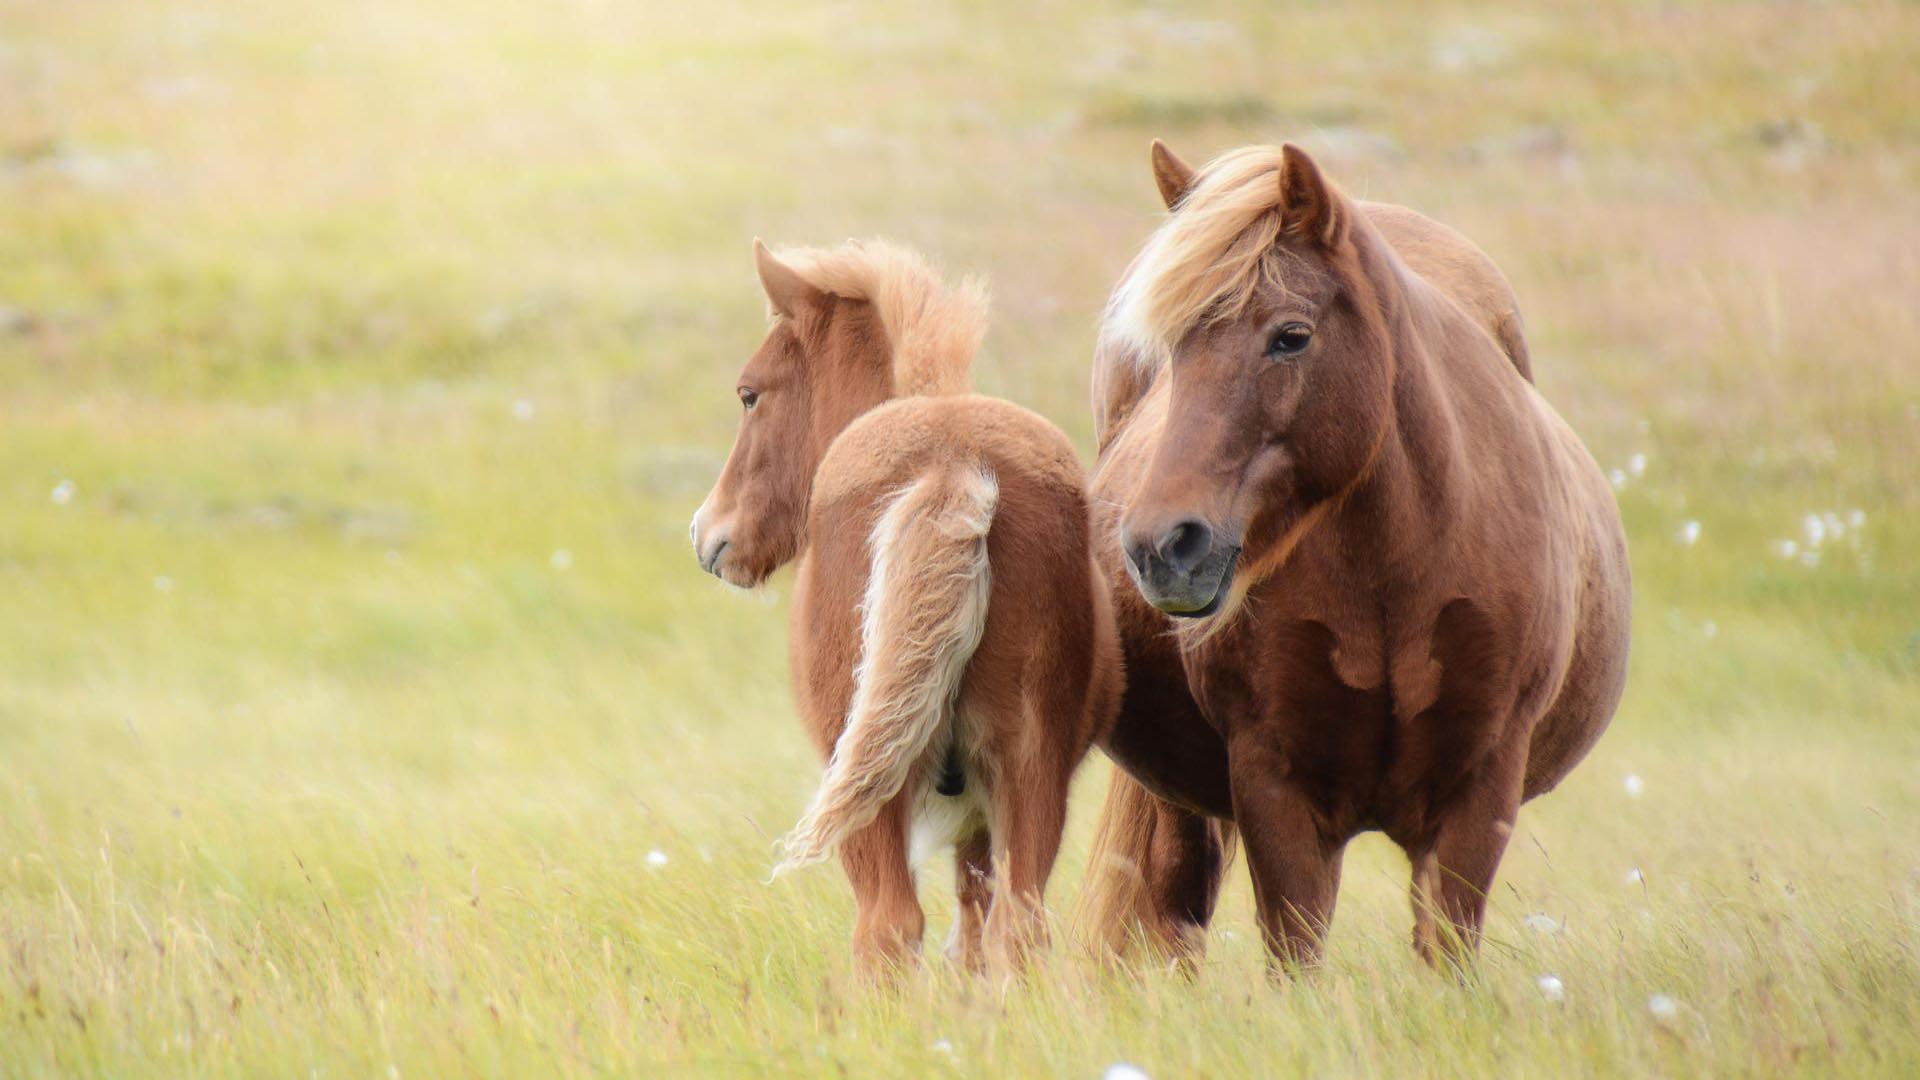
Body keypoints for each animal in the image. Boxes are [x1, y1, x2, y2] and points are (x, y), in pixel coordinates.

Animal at [690, 239, 1122, 978]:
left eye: (750, 394)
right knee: (1016, 927)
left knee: (887, 927)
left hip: (868, 789)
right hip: (1029, 769)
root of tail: (953, 464)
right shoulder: (981, 813)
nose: (710, 535)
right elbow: (974, 930)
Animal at [1077, 142, 1631, 972]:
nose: (1161, 546)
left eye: (1291, 336)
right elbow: (1294, 956)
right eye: (1170, 349)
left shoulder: (1479, 794)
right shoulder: (1276, 790)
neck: (1394, 570)